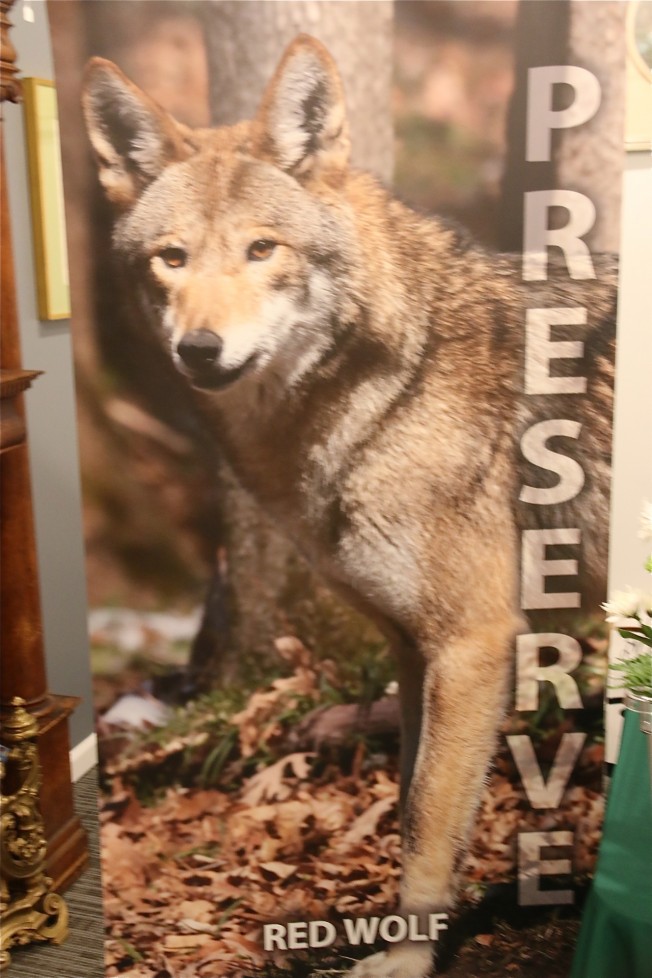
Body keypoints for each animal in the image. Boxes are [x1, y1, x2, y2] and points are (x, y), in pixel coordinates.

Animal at [83, 35, 615, 978]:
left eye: (263, 250)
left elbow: (432, 817)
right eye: (171, 258)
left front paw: (406, 959)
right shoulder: (410, 647)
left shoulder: (473, 643)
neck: (394, 386)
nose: (199, 350)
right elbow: (406, 805)